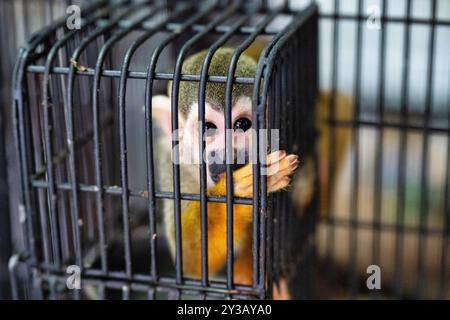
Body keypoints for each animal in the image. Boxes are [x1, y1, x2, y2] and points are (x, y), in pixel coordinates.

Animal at [151, 47, 298, 288]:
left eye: (242, 124)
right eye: (208, 128)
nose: (229, 154)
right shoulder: (173, 164)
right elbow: (190, 265)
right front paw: (236, 189)